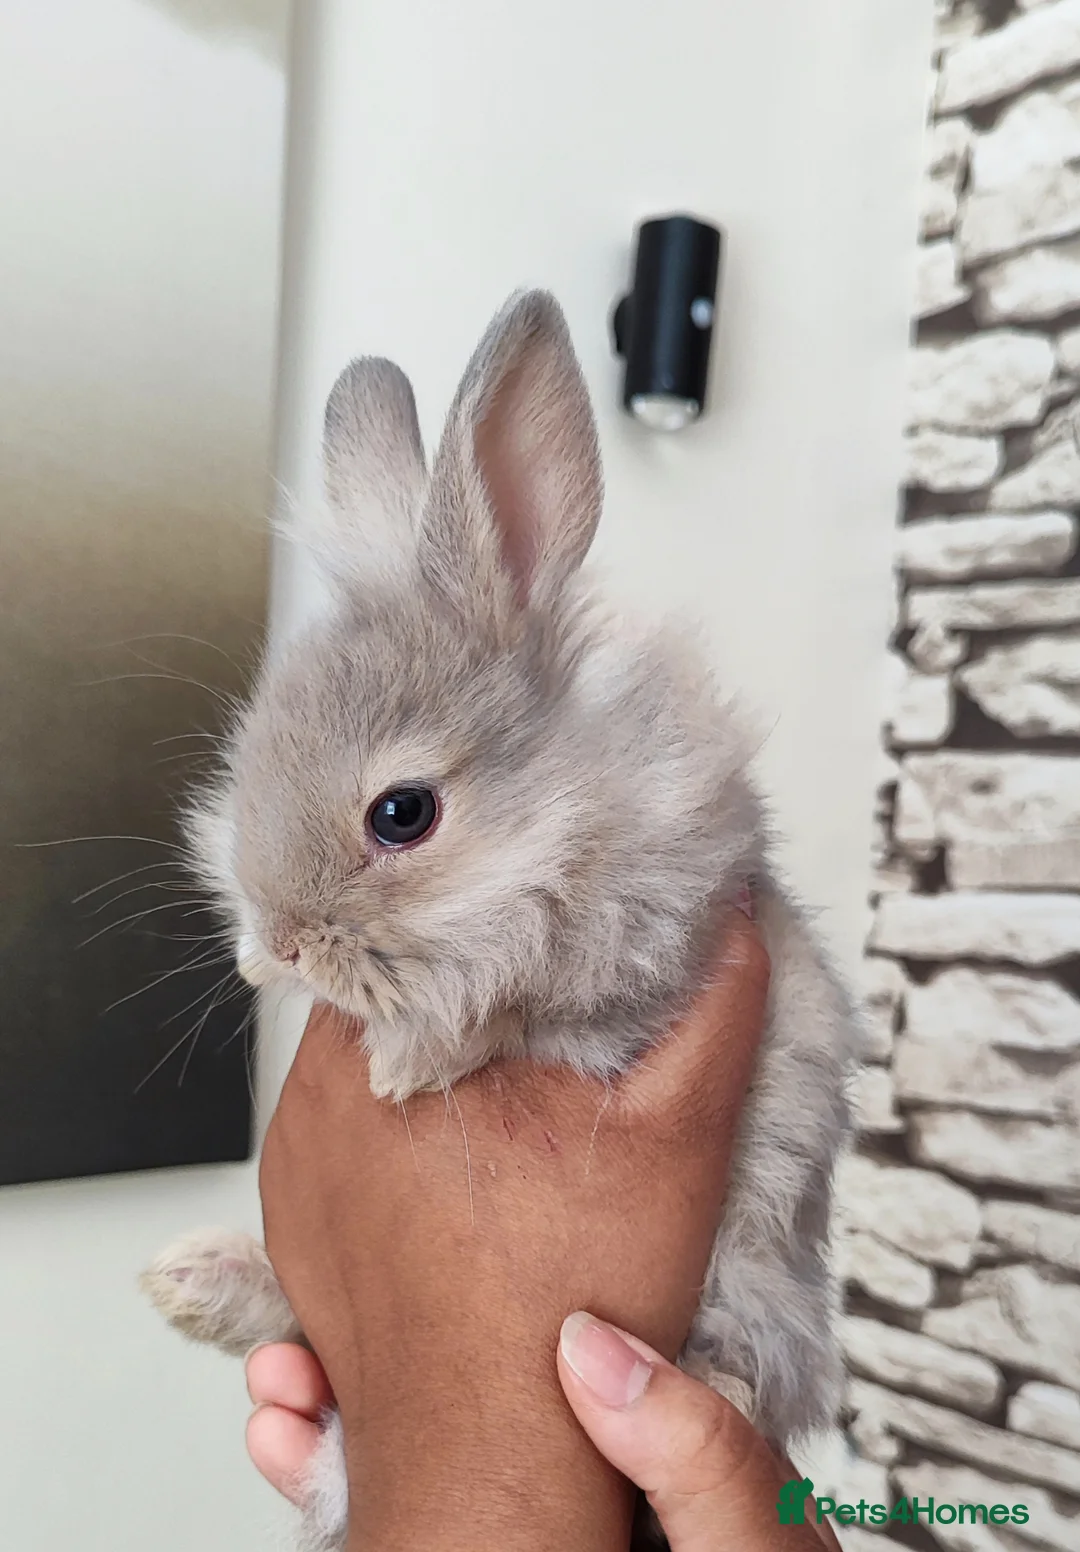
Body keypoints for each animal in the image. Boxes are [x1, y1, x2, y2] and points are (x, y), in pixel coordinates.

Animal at [140, 289, 859, 1551]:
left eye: (402, 812)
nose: (275, 946)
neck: (561, 805)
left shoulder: (649, 944)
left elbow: (515, 998)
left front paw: (403, 1065)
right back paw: (198, 1279)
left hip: (762, 1274)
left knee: (763, 1361)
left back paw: (707, 1384)